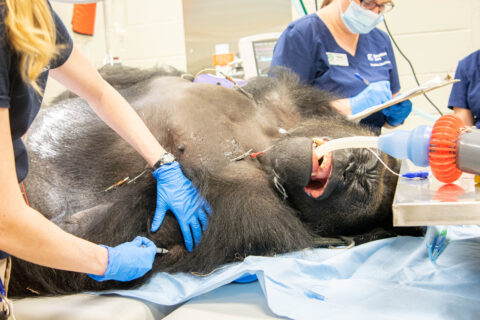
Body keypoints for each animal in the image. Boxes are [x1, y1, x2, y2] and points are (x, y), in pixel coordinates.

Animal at [7, 65, 420, 298]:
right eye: (364, 166)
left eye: (361, 190)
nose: (351, 168)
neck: (266, 145)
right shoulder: (283, 98)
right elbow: (111, 84)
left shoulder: (258, 217)